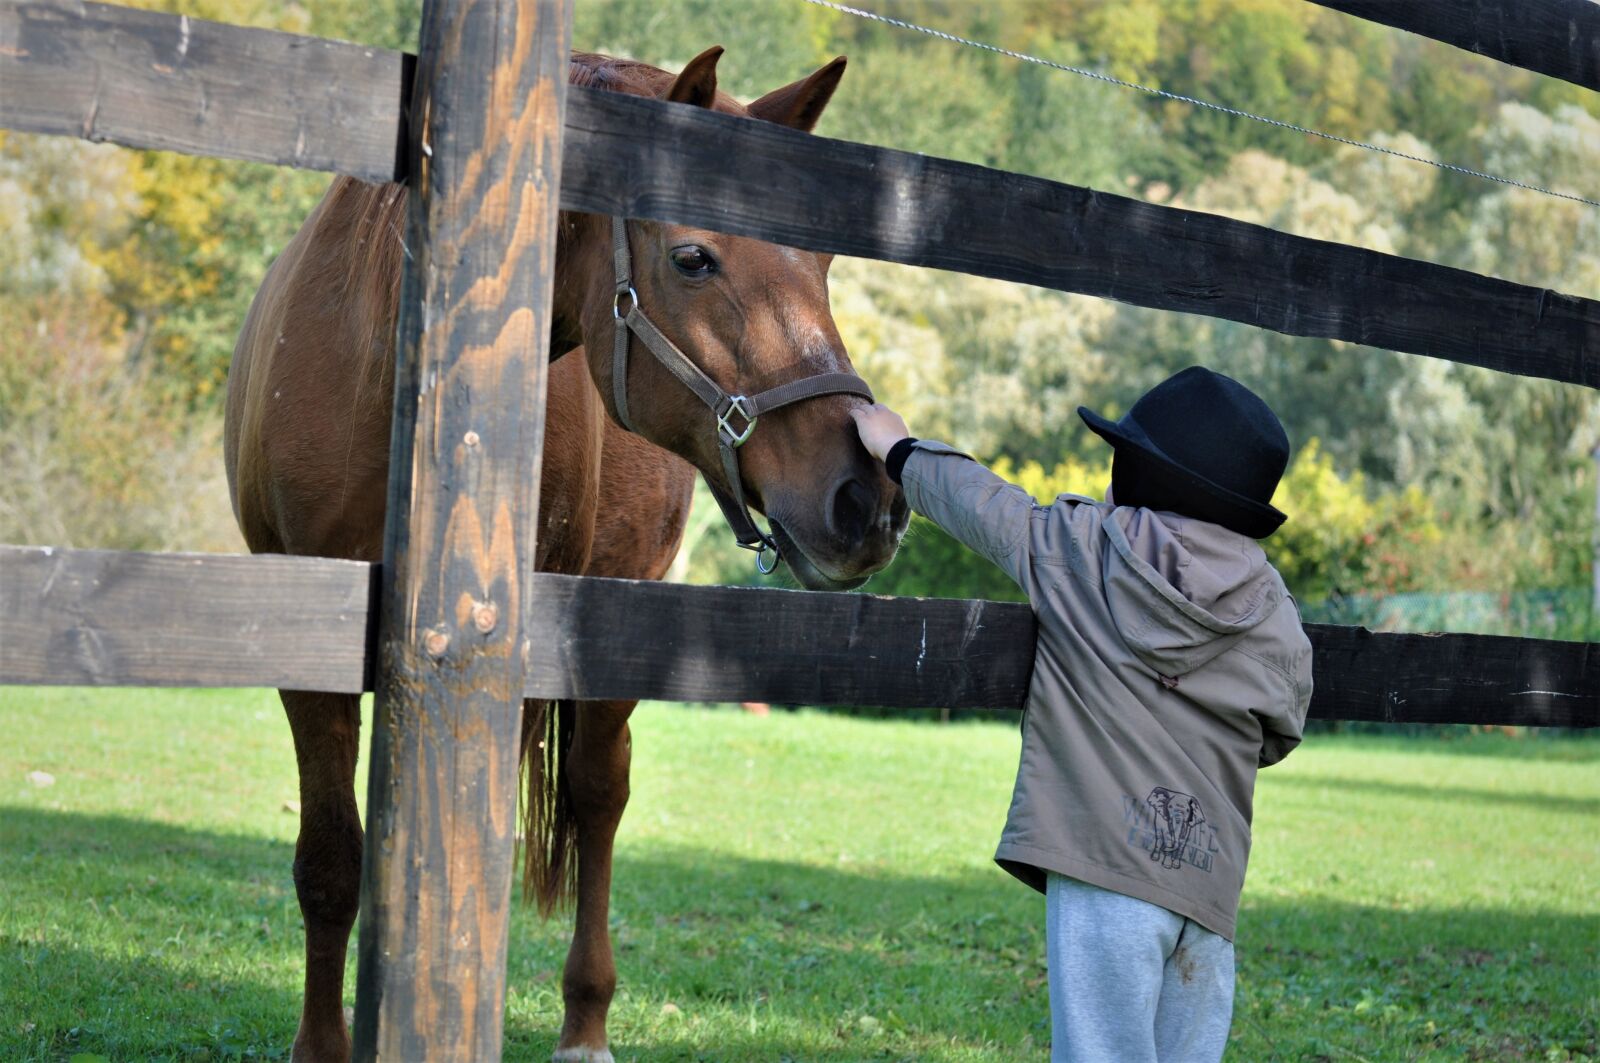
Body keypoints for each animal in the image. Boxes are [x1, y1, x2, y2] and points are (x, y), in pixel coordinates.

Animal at [223, 46, 908, 1062]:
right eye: (693, 257)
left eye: (821, 261)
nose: (864, 497)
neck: (406, 372)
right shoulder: (309, 647)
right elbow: (332, 860)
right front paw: (324, 1043)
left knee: (597, 794)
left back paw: (585, 1020)